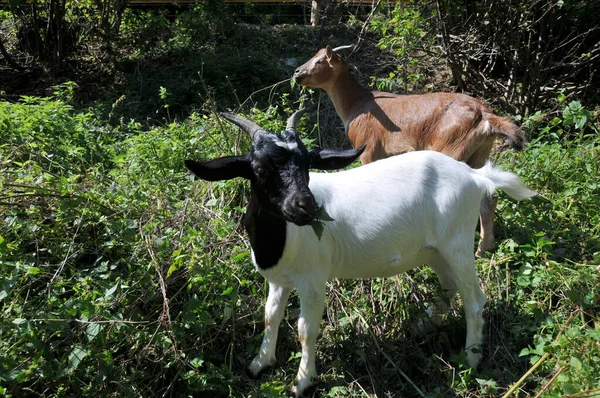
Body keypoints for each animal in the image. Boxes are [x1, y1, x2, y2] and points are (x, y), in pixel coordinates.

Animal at [183, 110, 536, 396]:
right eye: (258, 168)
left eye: (308, 163)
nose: (306, 206)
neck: (281, 237)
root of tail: (475, 176)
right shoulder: (278, 279)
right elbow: (270, 316)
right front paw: (259, 363)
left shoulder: (313, 279)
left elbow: (305, 330)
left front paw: (302, 381)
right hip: (436, 250)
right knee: (448, 287)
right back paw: (423, 327)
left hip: (457, 241)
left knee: (474, 299)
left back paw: (471, 358)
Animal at [296, 45, 524, 255]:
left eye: (320, 61)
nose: (297, 73)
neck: (357, 104)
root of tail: (485, 115)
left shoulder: (368, 149)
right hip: (479, 154)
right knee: (488, 199)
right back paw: (484, 249)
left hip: (452, 149)